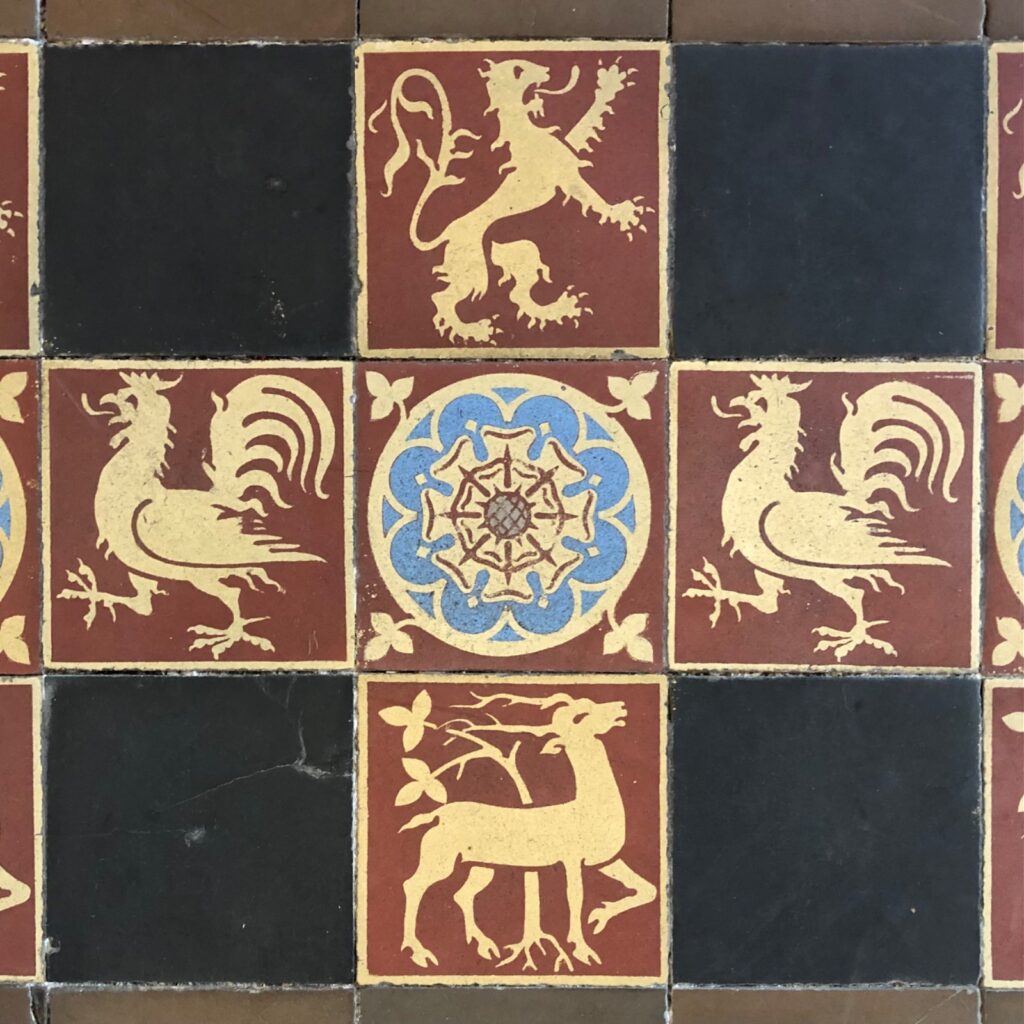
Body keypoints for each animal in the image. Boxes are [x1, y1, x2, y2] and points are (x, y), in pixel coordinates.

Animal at [399, 692, 657, 970]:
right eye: (580, 717)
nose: (620, 707)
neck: (586, 808)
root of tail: (438, 814)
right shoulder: (571, 860)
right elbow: (575, 897)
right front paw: (582, 949)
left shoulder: (606, 861)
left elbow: (647, 889)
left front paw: (600, 916)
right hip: (440, 860)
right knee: (413, 886)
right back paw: (419, 951)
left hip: (482, 867)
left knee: (462, 895)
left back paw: (484, 945)